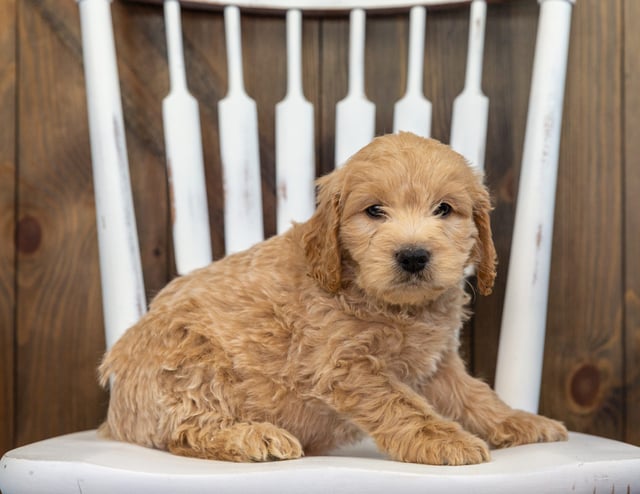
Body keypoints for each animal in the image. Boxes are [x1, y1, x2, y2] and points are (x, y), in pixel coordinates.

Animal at [97, 131, 568, 464]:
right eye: (374, 211)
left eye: (444, 209)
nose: (413, 255)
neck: (391, 305)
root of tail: (113, 419)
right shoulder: (345, 366)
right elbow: (403, 405)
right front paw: (445, 440)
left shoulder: (437, 364)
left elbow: (475, 397)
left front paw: (519, 421)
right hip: (189, 356)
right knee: (187, 428)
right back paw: (253, 436)